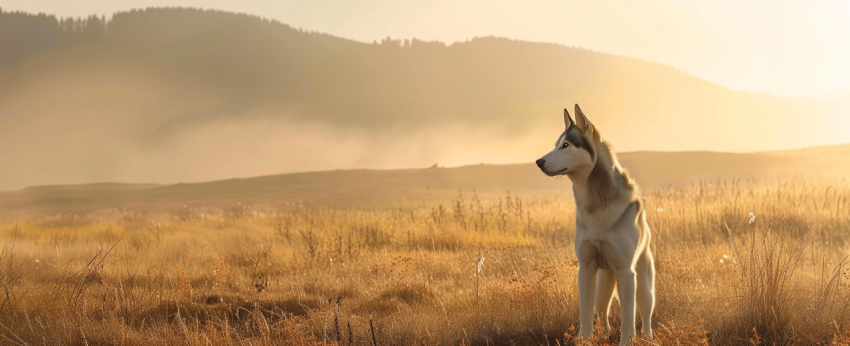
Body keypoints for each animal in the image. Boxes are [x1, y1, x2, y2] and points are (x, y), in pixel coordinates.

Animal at [536, 104, 656, 344]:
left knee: (644, 313)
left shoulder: (626, 272)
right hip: (603, 282)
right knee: (601, 309)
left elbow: (628, 320)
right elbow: (585, 314)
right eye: (555, 145)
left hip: (642, 284)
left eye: (566, 145)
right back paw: (604, 334)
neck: (596, 206)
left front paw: (627, 341)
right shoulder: (585, 268)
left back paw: (647, 337)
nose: (538, 162)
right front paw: (584, 339)